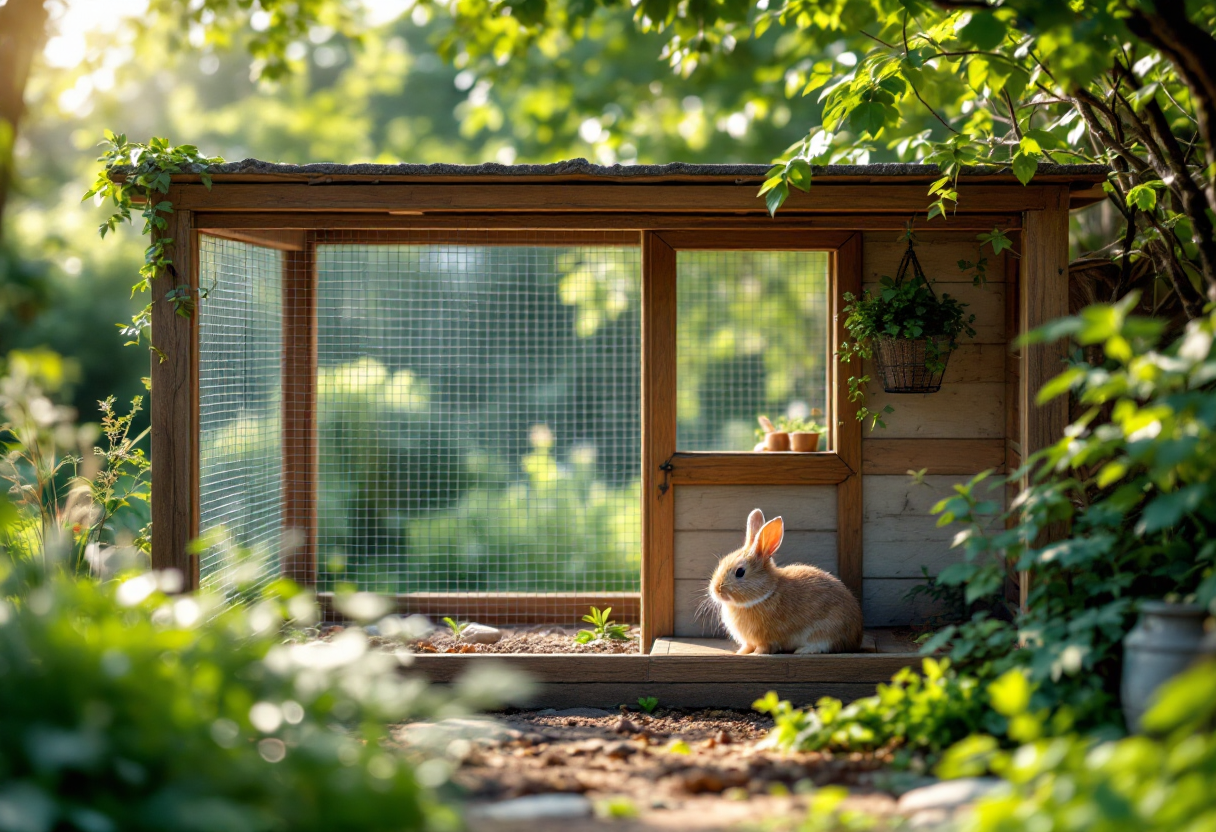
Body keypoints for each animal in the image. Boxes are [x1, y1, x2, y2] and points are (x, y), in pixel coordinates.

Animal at [708, 509, 864, 655]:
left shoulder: (767, 639)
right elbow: (747, 646)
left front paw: (756, 654)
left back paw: (803, 650)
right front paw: (741, 653)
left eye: (740, 572)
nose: (716, 591)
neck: (765, 594)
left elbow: (764, 647)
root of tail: (856, 637)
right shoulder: (749, 641)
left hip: (826, 631)